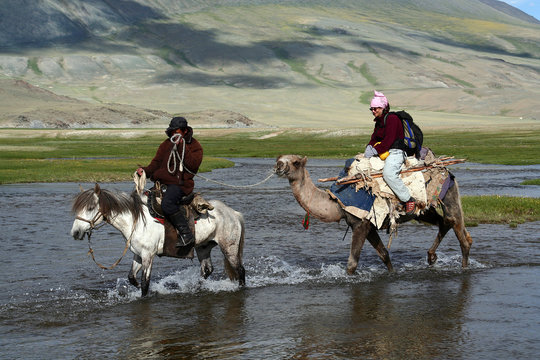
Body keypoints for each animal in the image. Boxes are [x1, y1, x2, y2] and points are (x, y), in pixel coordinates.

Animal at [274, 153, 472, 274]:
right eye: (279, 158)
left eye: (295, 162)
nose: (278, 165)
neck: (337, 203)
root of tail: (447, 171)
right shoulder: (368, 225)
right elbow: (384, 254)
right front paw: (392, 273)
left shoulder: (360, 223)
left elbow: (352, 264)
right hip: (423, 210)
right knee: (445, 222)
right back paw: (431, 257)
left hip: (448, 196)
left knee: (457, 227)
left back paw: (463, 267)